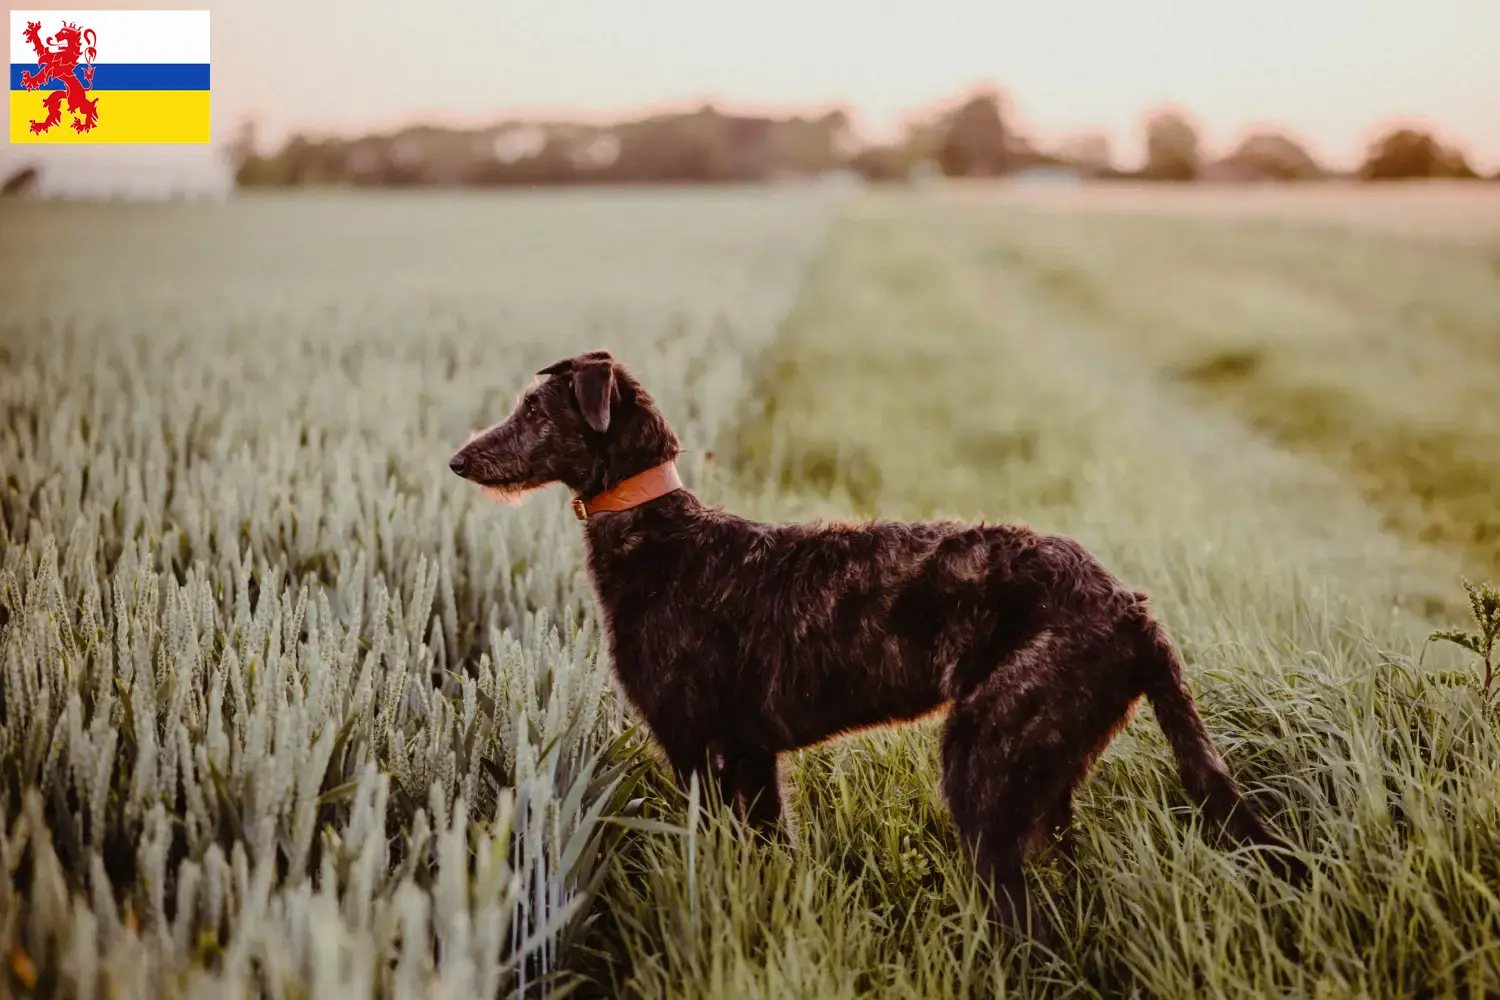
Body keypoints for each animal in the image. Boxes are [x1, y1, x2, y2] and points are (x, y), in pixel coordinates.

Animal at [444, 347, 1302, 929]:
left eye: (535, 410)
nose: (455, 458)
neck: (665, 537)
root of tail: (1131, 607)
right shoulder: (752, 757)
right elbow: (770, 850)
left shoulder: (697, 749)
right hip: (1048, 775)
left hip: (986, 761)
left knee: (1020, 914)